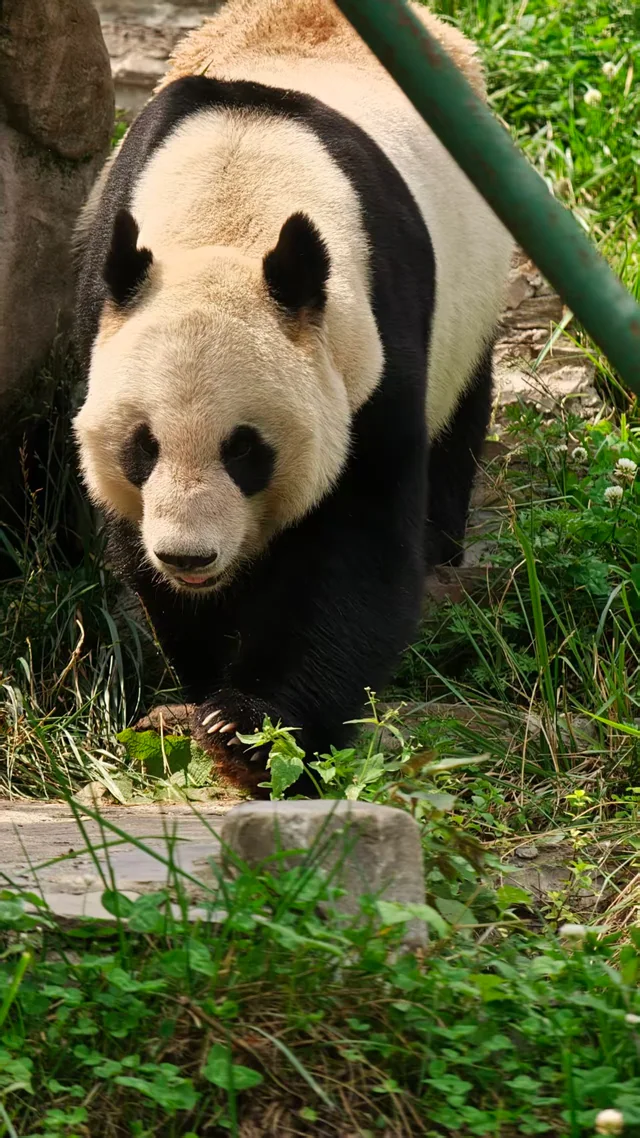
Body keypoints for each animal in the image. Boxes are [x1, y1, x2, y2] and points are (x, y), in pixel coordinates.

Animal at [73, 0, 513, 793]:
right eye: (142, 448)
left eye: (246, 450)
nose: (189, 556)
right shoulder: (105, 301)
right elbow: (138, 547)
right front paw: (207, 687)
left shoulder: (371, 343)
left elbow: (358, 545)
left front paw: (248, 729)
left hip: (474, 294)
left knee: (459, 420)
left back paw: (444, 546)